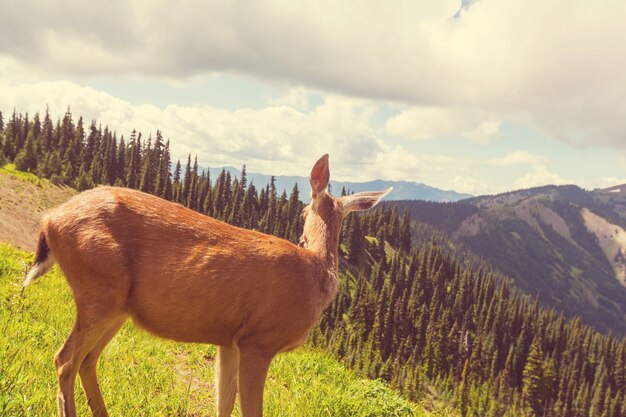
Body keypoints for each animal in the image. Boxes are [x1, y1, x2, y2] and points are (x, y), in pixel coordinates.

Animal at [20, 154, 390, 416]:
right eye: (301, 212)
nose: (301, 235)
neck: (315, 272)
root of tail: (50, 219)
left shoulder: (230, 339)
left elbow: (222, 402)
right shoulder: (259, 340)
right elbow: (249, 409)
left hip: (116, 306)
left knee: (86, 360)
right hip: (99, 290)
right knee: (64, 359)